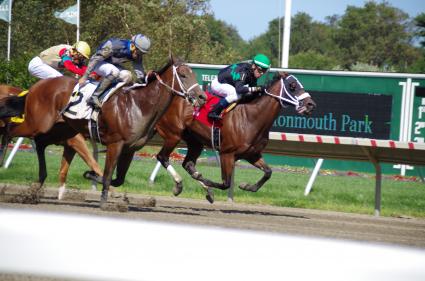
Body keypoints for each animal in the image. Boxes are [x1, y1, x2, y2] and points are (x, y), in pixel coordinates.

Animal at [0, 58, 205, 205]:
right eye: (183, 75)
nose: (202, 97)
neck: (140, 105)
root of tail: (36, 86)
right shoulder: (115, 144)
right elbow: (107, 175)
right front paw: (104, 201)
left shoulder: (130, 149)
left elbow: (117, 179)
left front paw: (90, 175)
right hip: (38, 123)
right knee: (10, 130)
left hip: (63, 129)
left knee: (41, 143)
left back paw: (39, 181)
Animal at [153, 72, 314, 201]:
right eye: (292, 86)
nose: (311, 104)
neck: (251, 118)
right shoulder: (227, 153)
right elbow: (226, 183)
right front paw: (208, 181)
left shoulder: (252, 154)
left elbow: (268, 172)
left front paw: (246, 186)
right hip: (173, 134)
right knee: (163, 157)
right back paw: (179, 185)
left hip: (195, 141)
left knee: (188, 164)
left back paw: (206, 190)